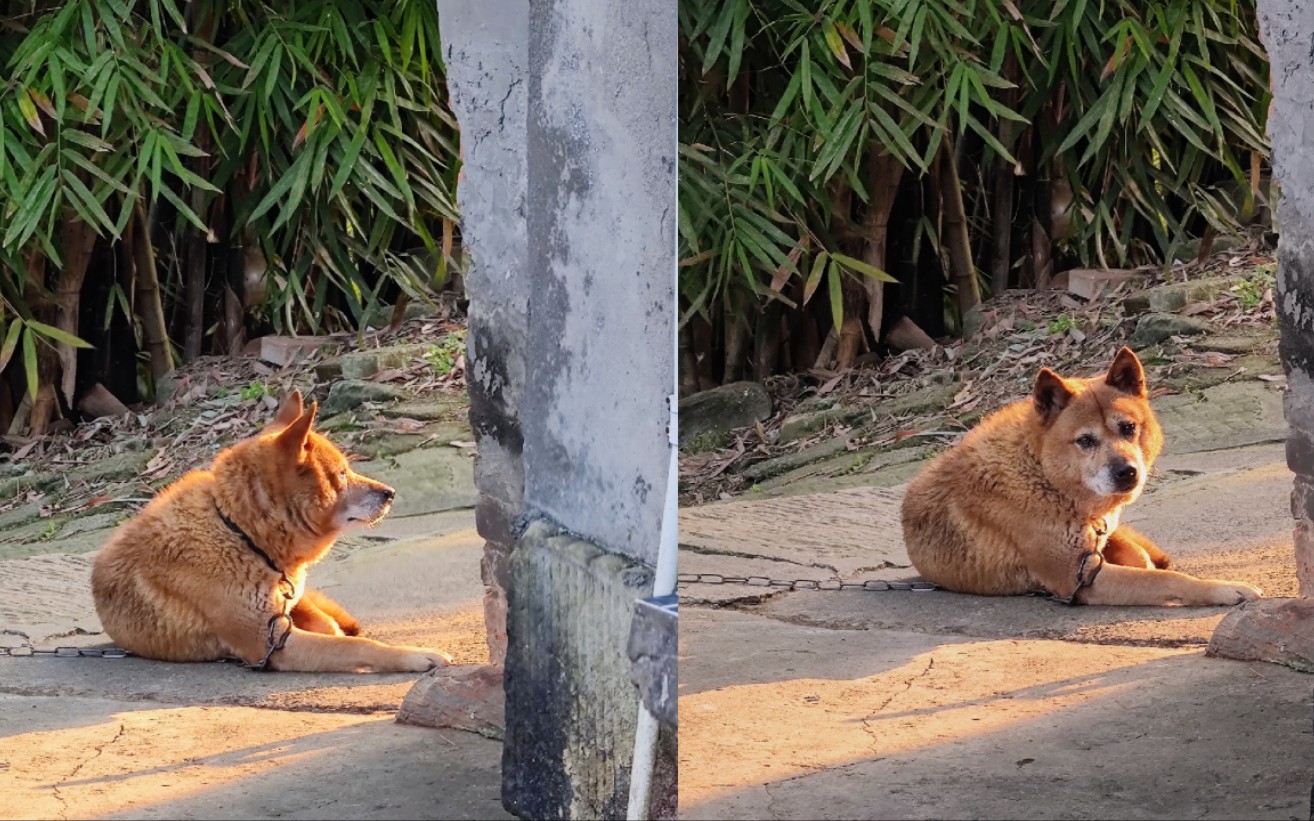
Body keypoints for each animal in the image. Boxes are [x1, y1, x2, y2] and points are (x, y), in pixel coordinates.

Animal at [91, 391, 452, 672]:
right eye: (341, 475)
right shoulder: (272, 644)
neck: (239, 532)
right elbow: (360, 646)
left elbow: (329, 626)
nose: (390, 493)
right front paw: (417, 656)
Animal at [904, 341, 1261, 604]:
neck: (1043, 474)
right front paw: (1222, 588)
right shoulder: (1082, 579)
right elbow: (1166, 578)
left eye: (1128, 428)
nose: (1127, 473)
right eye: (1085, 440)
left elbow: (1141, 561)